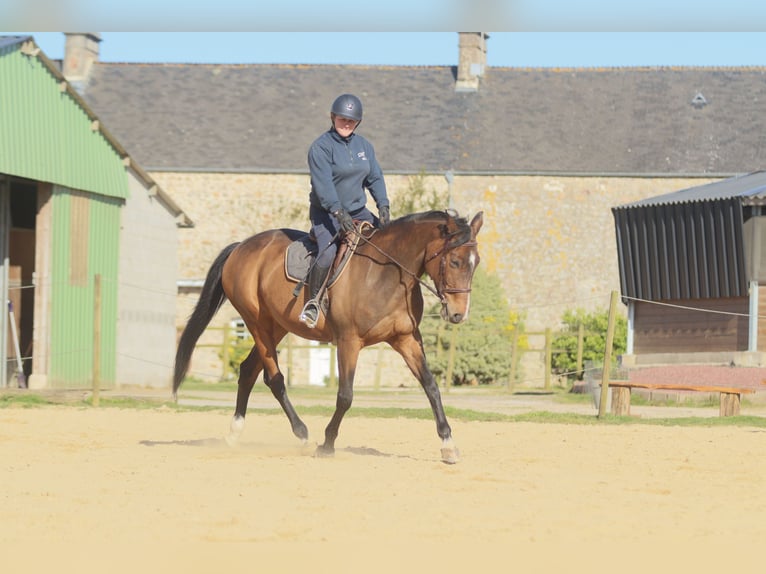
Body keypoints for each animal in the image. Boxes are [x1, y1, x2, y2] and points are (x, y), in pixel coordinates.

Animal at [175, 209, 486, 466]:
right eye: (455, 261)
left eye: (476, 263)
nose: (458, 314)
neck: (385, 274)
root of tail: (241, 247)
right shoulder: (349, 341)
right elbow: (345, 396)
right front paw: (327, 444)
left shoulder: (406, 338)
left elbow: (431, 387)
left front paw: (448, 445)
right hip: (257, 322)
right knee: (274, 378)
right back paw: (301, 434)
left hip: (278, 325)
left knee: (248, 370)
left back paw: (234, 434)